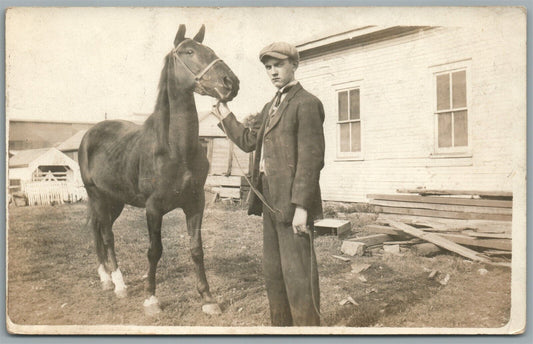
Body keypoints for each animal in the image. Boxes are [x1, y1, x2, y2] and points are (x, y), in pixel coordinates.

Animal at [78, 24, 239, 314]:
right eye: (188, 52)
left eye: (210, 50)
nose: (230, 83)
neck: (174, 148)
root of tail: (90, 134)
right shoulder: (153, 209)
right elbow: (154, 251)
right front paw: (151, 299)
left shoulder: (195, 204)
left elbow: (196, 249)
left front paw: (208, 299)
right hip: (97, 197)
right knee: (106, 235)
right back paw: (116, 283)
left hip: (115, 201)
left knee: (98, 230)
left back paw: (107, 278)